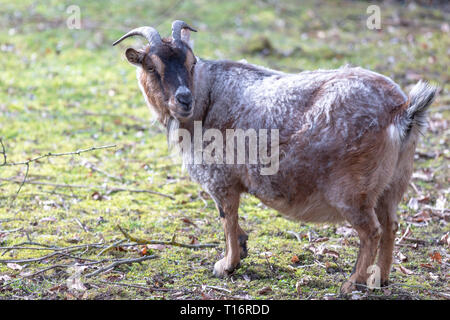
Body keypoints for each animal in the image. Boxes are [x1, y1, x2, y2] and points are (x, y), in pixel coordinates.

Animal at [111, 20, 436, 294]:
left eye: (191, 62)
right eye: (151, 66)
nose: (184, 99)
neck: (207, 98)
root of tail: (401, 110)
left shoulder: (221, 180)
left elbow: (227, 219)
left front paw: (226, 265)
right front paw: (242, 249)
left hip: (353, 190)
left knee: (372, 231)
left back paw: (351, 283)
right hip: (393, 184)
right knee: (391, 226)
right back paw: (378, 279)